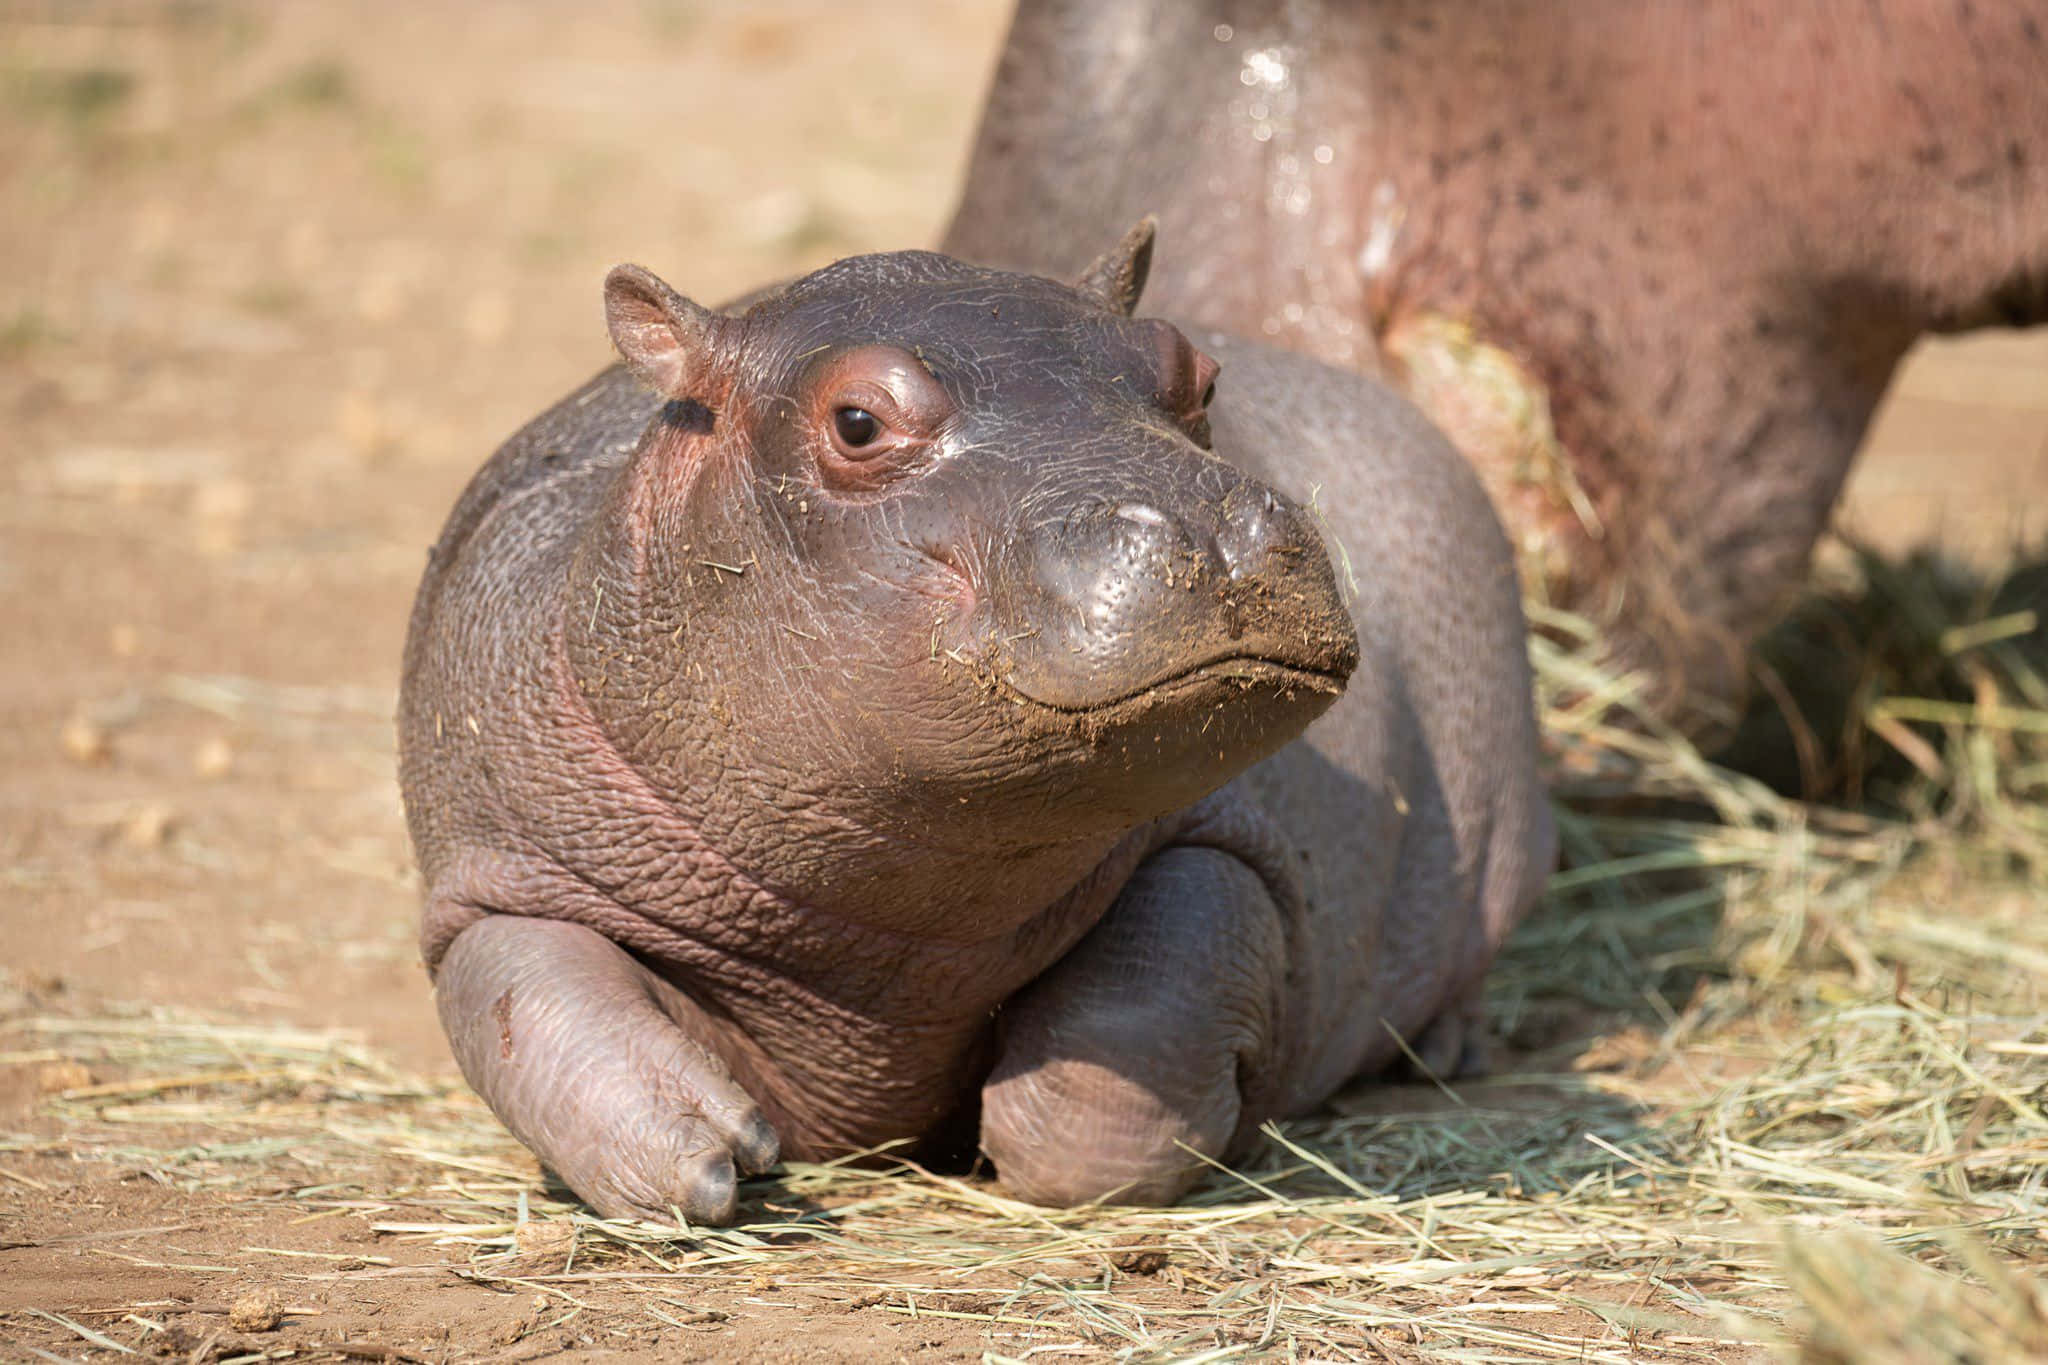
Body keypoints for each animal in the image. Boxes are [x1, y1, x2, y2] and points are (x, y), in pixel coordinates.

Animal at [397, 224, 1554, 1223]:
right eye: (856, 421)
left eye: (1197, 374)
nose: (1213, 527)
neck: (878, 929)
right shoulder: (501, 868)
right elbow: (530, 1000)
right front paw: (715, 1151)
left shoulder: (1224, 842)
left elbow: (1117, 1069)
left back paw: (1449, 1052)